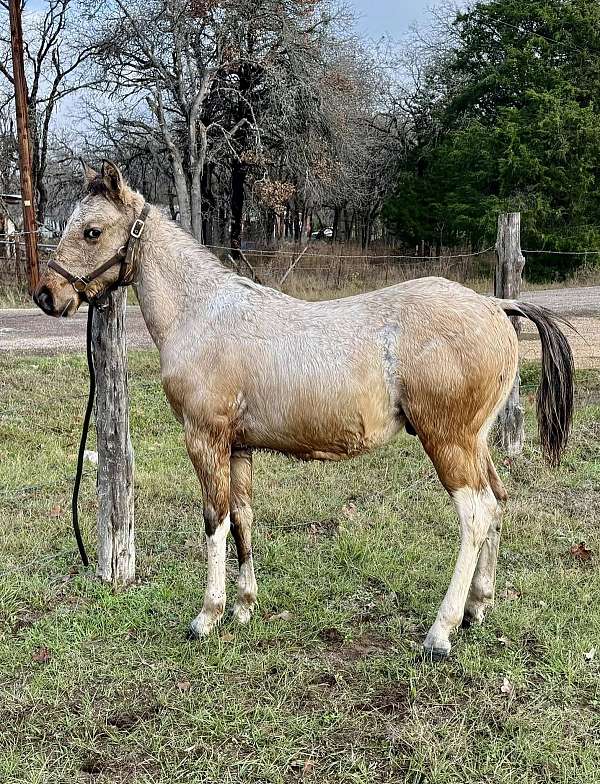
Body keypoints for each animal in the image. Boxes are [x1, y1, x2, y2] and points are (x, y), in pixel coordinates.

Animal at [31, 162, 572, 660]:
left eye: (91, 230)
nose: (46, 295)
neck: (202, 313)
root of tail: (496, 305)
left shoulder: (204, 439)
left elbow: (214, 521)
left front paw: (208, 616)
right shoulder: (238, 448)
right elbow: (243, 518)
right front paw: (244, 607)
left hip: (448, 442)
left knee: (476, 514)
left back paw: (440, 632)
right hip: (475, 443)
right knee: (497, 502)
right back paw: (479, 607)